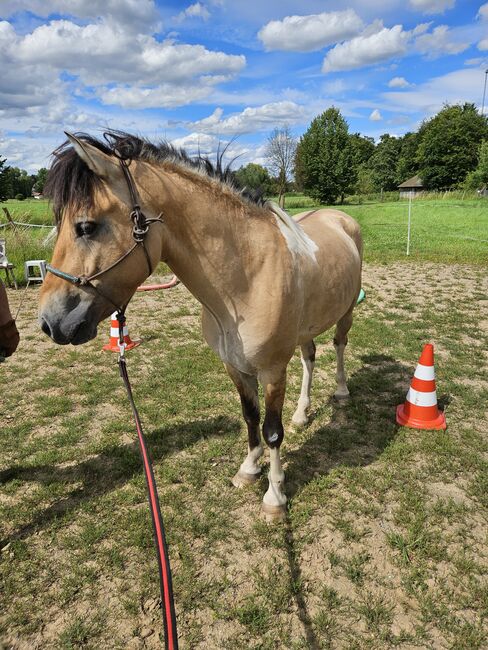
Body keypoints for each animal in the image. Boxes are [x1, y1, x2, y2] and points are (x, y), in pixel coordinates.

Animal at [39, 129, 362, 520]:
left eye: (86, 226)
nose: (50, 321)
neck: (248, 278)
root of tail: (340, 218)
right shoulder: (234, 366)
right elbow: (250, 417)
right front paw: (248, 470)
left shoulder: (272, 371)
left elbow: (272, 430)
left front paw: (275, 498)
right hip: (305, 330)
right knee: (309, 357)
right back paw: (302, 413)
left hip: (346, 313)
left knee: (339, 346)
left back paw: (341, 392)